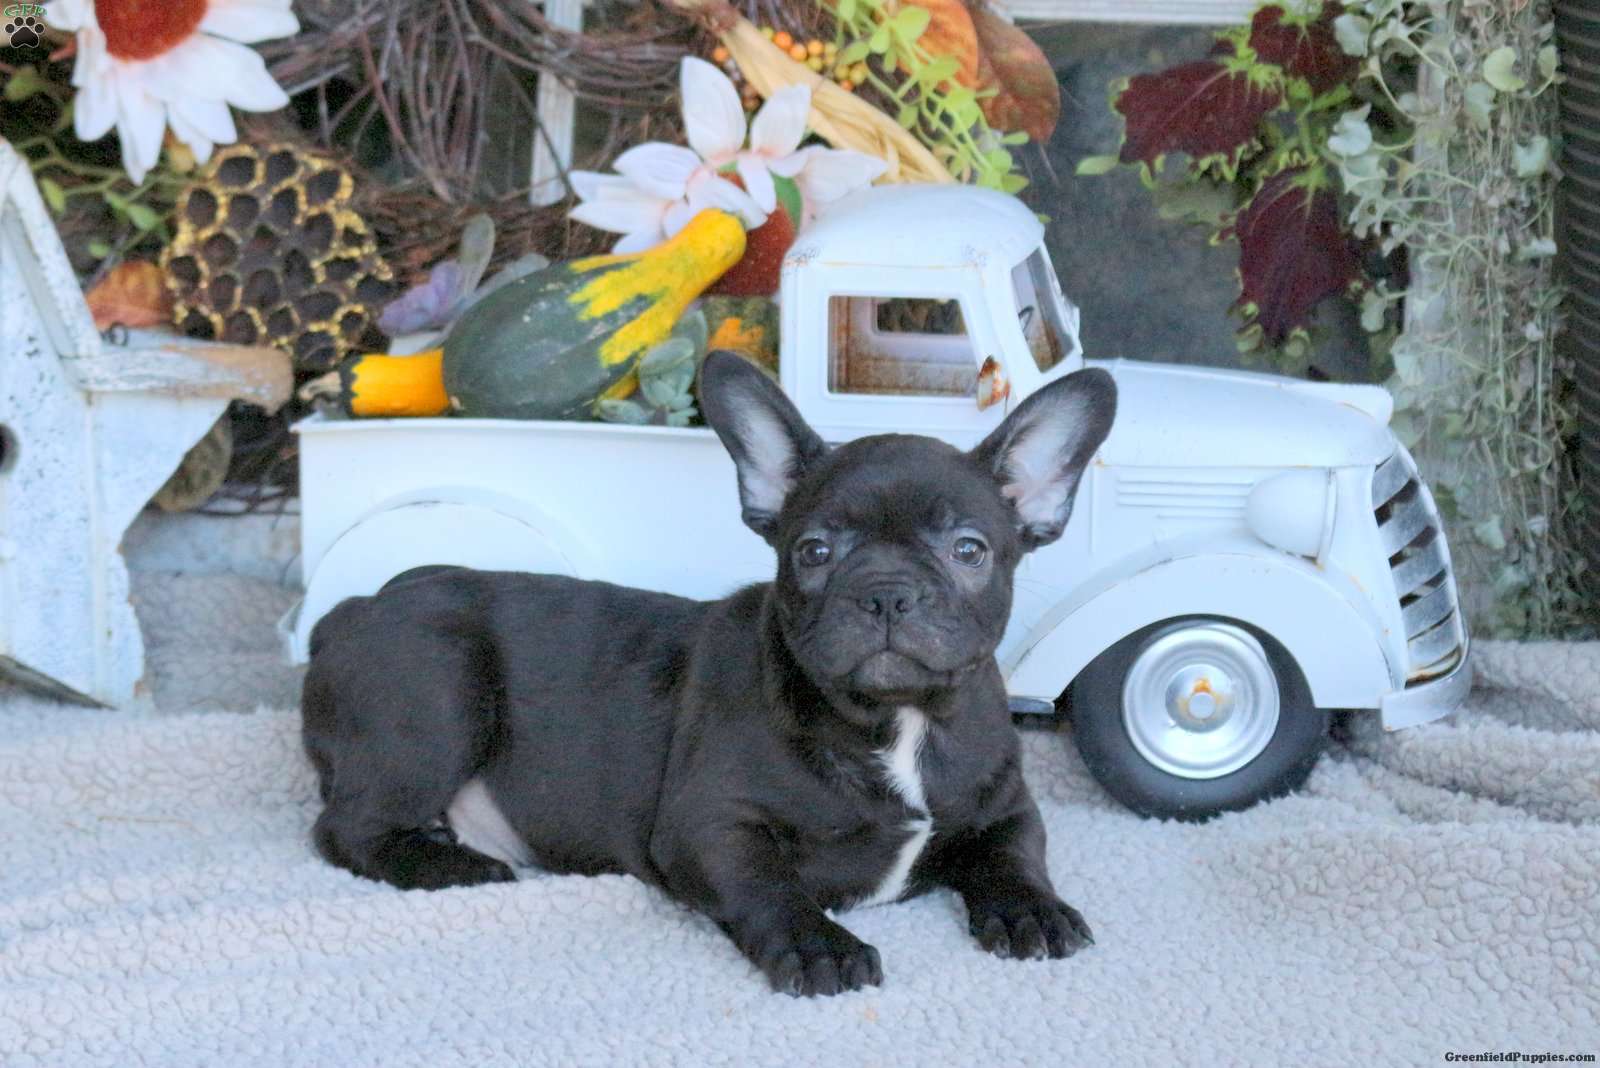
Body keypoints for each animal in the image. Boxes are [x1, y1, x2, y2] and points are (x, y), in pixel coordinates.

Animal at [301, 350, 1117, 996]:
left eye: (969, 550)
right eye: (813, 552)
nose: (886, 591)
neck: (898, 722)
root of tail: (348, 612)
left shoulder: (1005, 806)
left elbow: (1016, 854)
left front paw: (1036, 910)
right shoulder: (712, 827)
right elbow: (770, 887)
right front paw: (821, 947)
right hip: (441, 691)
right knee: (347, 828)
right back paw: (455, 868)